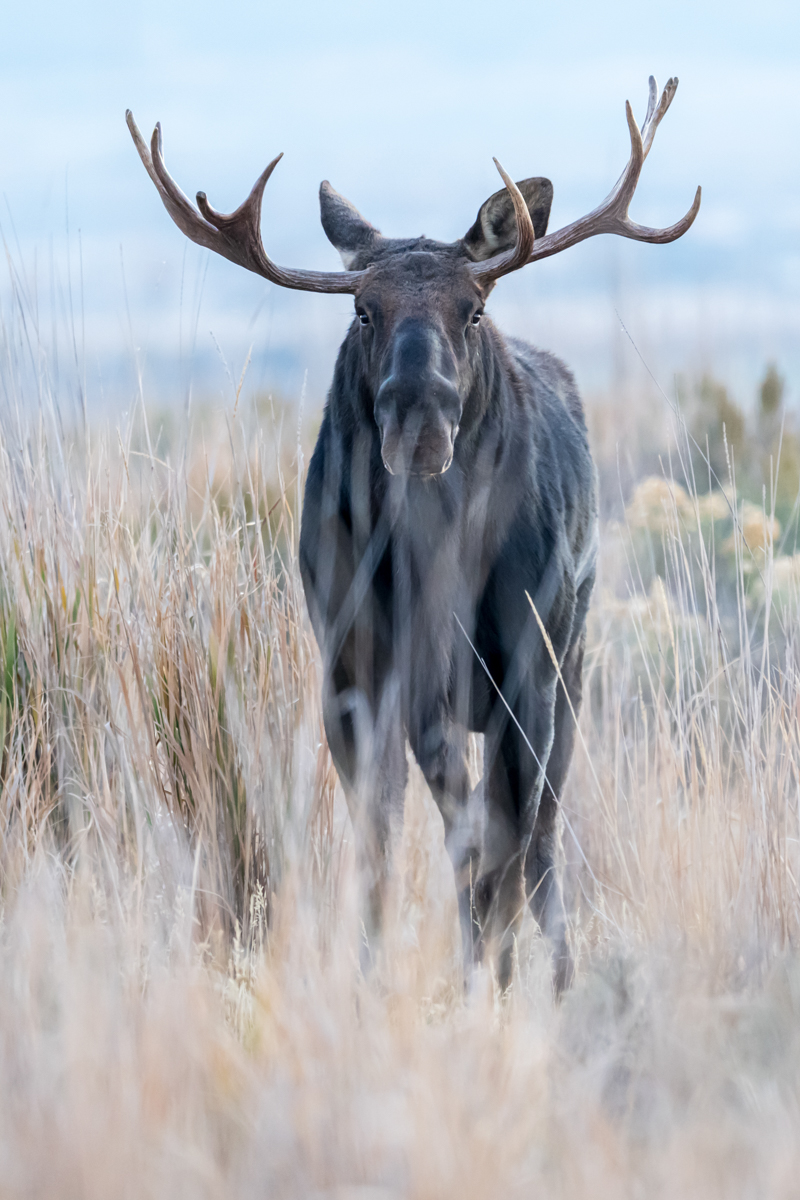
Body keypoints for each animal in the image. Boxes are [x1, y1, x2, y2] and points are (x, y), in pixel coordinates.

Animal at [127, 76, 700, 994]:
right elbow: (388, 836)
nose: (419, 424)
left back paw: (554, 974)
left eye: (473, 308)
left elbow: (504, 835)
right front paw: (374, 977)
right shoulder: (354, 667)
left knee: (541, 831)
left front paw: (495, 981)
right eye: (364, 310)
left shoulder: (525, 664)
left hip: (572, 656)